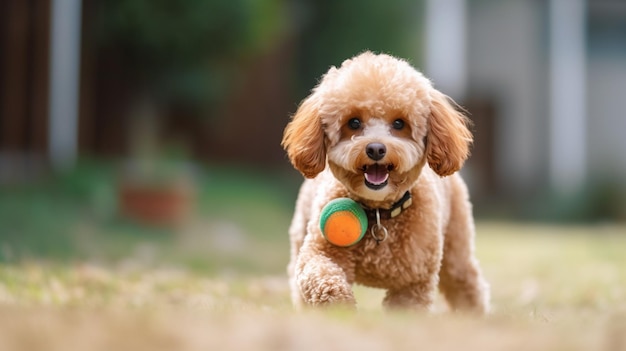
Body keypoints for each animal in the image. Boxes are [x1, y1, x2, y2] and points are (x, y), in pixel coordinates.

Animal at [280, 52, 490, 314]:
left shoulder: (413, 281)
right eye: (354, 123)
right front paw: (339, 303)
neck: (379, 213)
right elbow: (320, 273)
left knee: (466, 282)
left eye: (399, 124)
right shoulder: (320, 251)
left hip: (456, 249)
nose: (376, 149)